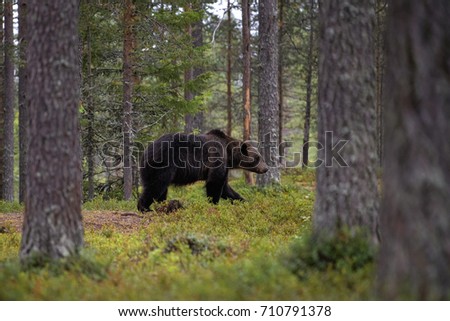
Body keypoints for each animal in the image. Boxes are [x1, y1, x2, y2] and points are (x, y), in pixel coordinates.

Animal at [137, 129, 268, 211]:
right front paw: (214, 204)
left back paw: (162, 205)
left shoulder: (225, 166)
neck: (229, 154)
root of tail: (145, 152)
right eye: (258, 158)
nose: (266, 168)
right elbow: (215, 183)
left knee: (161, 189)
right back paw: (145, 208)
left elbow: (226, 188)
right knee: (156, 185)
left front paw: (243, 200)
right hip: (163, 163)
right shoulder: (217, 158)